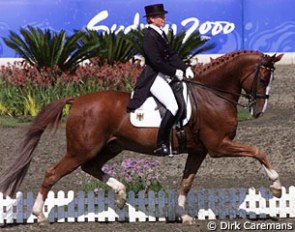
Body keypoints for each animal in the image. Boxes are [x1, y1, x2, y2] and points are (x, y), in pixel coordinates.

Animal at [0, 49, 284, 224]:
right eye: (263, 78)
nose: (259, 111)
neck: (212, 95)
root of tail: (77, 100)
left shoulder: (199, 151)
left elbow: (186, 182)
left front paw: (183, 215)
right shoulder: (218, 146)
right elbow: (258, 151)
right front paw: (277, 187)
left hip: (110, 147)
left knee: (91, 168)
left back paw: (121, 195)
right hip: (82, 149)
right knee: (52, 173)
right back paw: (39, 215)